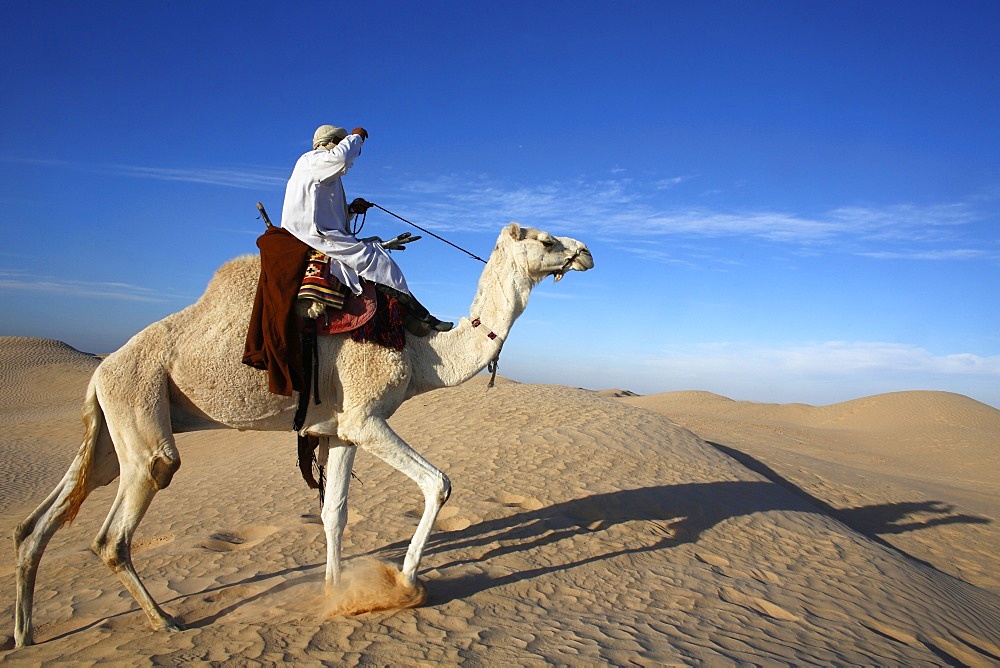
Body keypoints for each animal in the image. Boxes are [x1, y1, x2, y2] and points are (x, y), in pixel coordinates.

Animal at [13, 223, 592, 648]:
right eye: (545, 240)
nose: (586, 252)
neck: (422, 352)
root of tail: (98, 371)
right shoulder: (365, 417)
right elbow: (439, 483)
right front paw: (403, 584)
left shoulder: (338, 432)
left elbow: (333, 512)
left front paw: (334, 593)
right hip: (139, 405)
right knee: (123, 519)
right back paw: (165, 621)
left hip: (114, 427)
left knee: (40, 520)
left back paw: (25, 635)